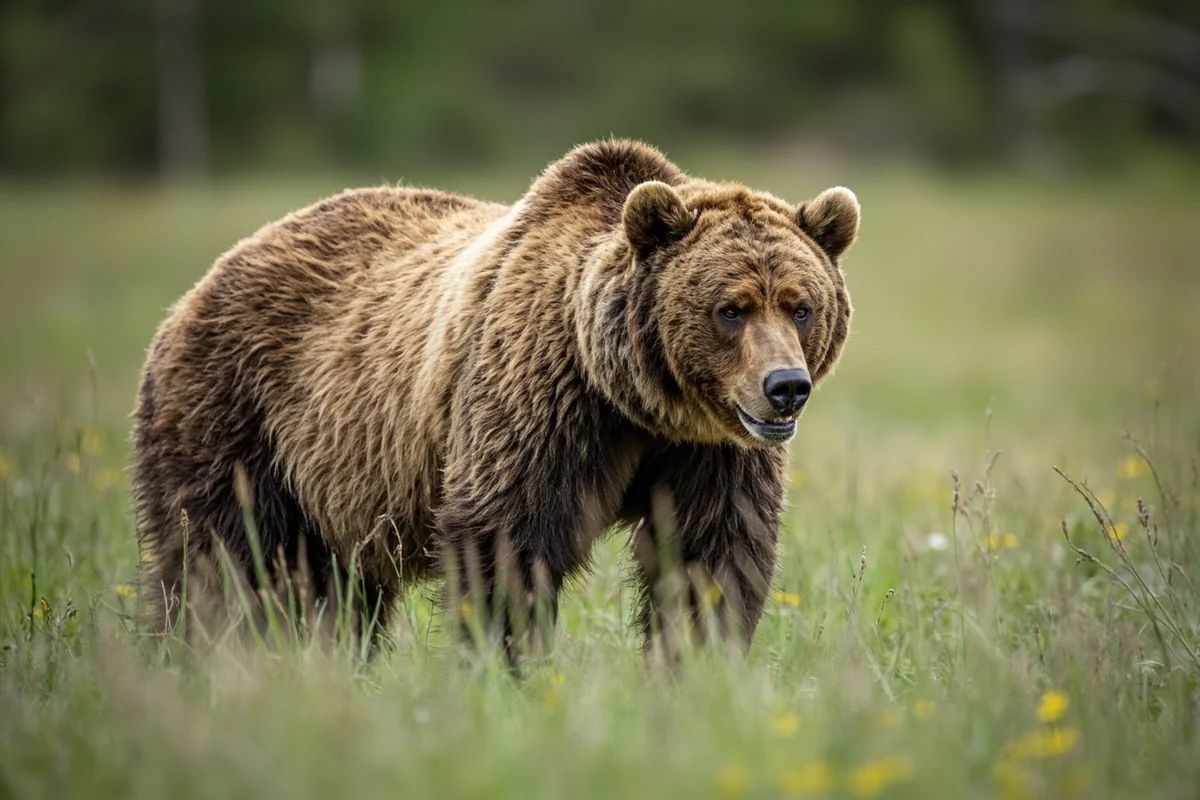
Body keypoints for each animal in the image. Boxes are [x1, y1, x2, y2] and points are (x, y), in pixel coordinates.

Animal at [131, 139, 859, 660]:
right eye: (731, 308)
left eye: (801, 306)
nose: (784, 388)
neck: (636, 401)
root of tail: (206, 280)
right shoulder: (539, 398)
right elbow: (508, 541)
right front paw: (506, 669)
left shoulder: (708, 451)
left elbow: (712, 555)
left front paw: (697, 666)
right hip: (234, 416)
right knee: (220, 565)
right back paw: (197, 658)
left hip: (334, 483)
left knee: (337, 591)